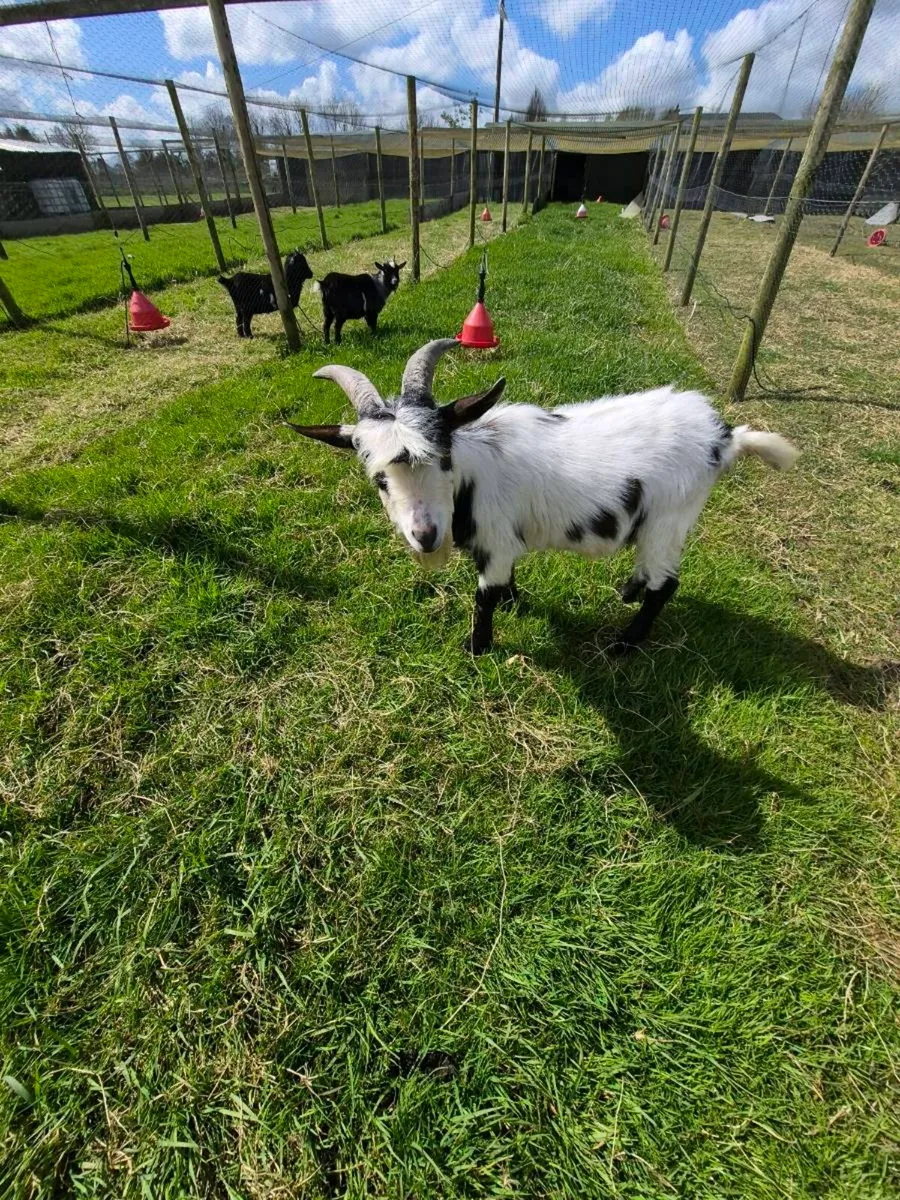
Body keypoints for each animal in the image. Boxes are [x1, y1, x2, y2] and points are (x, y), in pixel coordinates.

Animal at [285, 340, 799, 655]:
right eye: (379, 479)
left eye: (444, 457)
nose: (425, 535)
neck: (472, 477)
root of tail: (724, 437)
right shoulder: (499, 543)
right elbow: (504, 585)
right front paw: (514, 605)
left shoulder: (494, 542)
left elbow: (485, 597)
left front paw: (478, 649)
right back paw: (626, 592)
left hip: (668, 518)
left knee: (665, 584)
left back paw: (623, 645)